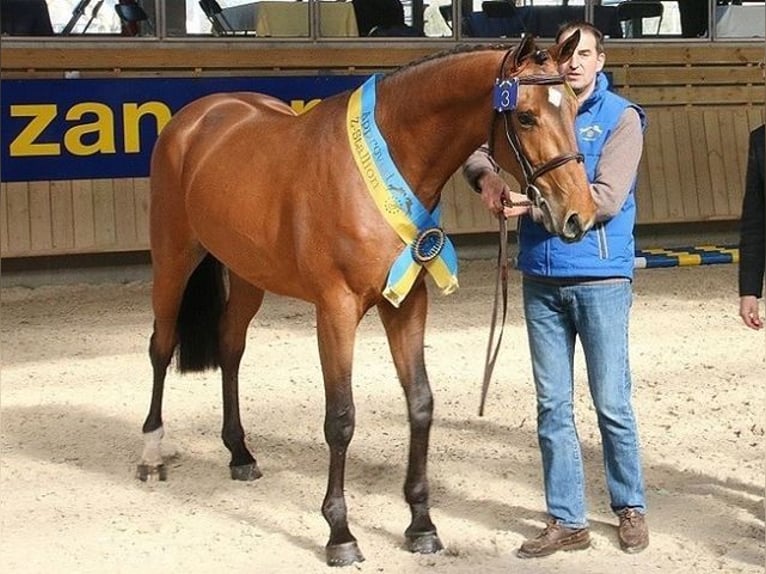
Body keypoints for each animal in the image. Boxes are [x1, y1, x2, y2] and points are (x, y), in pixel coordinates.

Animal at [137, 32, 596, 566]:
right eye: (525, 116)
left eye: (575, 107)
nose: (578, 215)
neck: (385, 163)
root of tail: (197, 116)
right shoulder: (335, 310)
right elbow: (341, 418)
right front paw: (340, 534)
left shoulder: (407, 303)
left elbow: (420, 403)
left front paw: (421, 524)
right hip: (174, 259)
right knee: (161, 345)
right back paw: (151, 454)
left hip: (249, 273)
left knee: (230, 346)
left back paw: (240, 454)